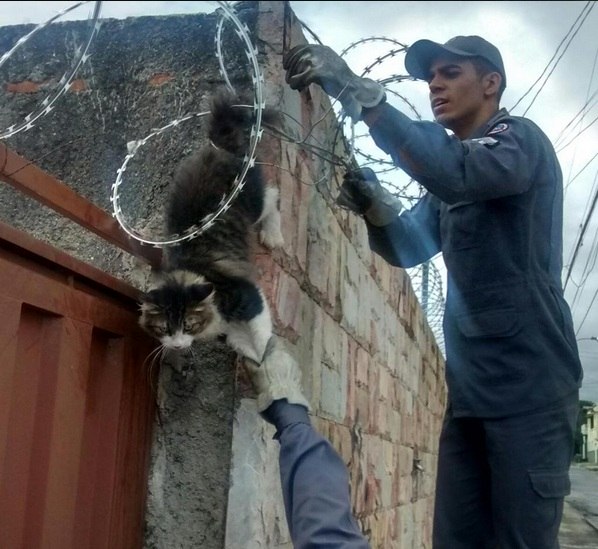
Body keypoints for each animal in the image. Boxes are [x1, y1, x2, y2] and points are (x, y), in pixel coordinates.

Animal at [139, 89, 284, 364]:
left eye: (188, 325)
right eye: (164, 329)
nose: (176, 346)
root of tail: (216, 147)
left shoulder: (248, 294)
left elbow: (262, 340)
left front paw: (268, 364)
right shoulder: (230, 327)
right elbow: (244, 346)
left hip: (252, 203)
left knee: (272, 196)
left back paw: (272, 234)